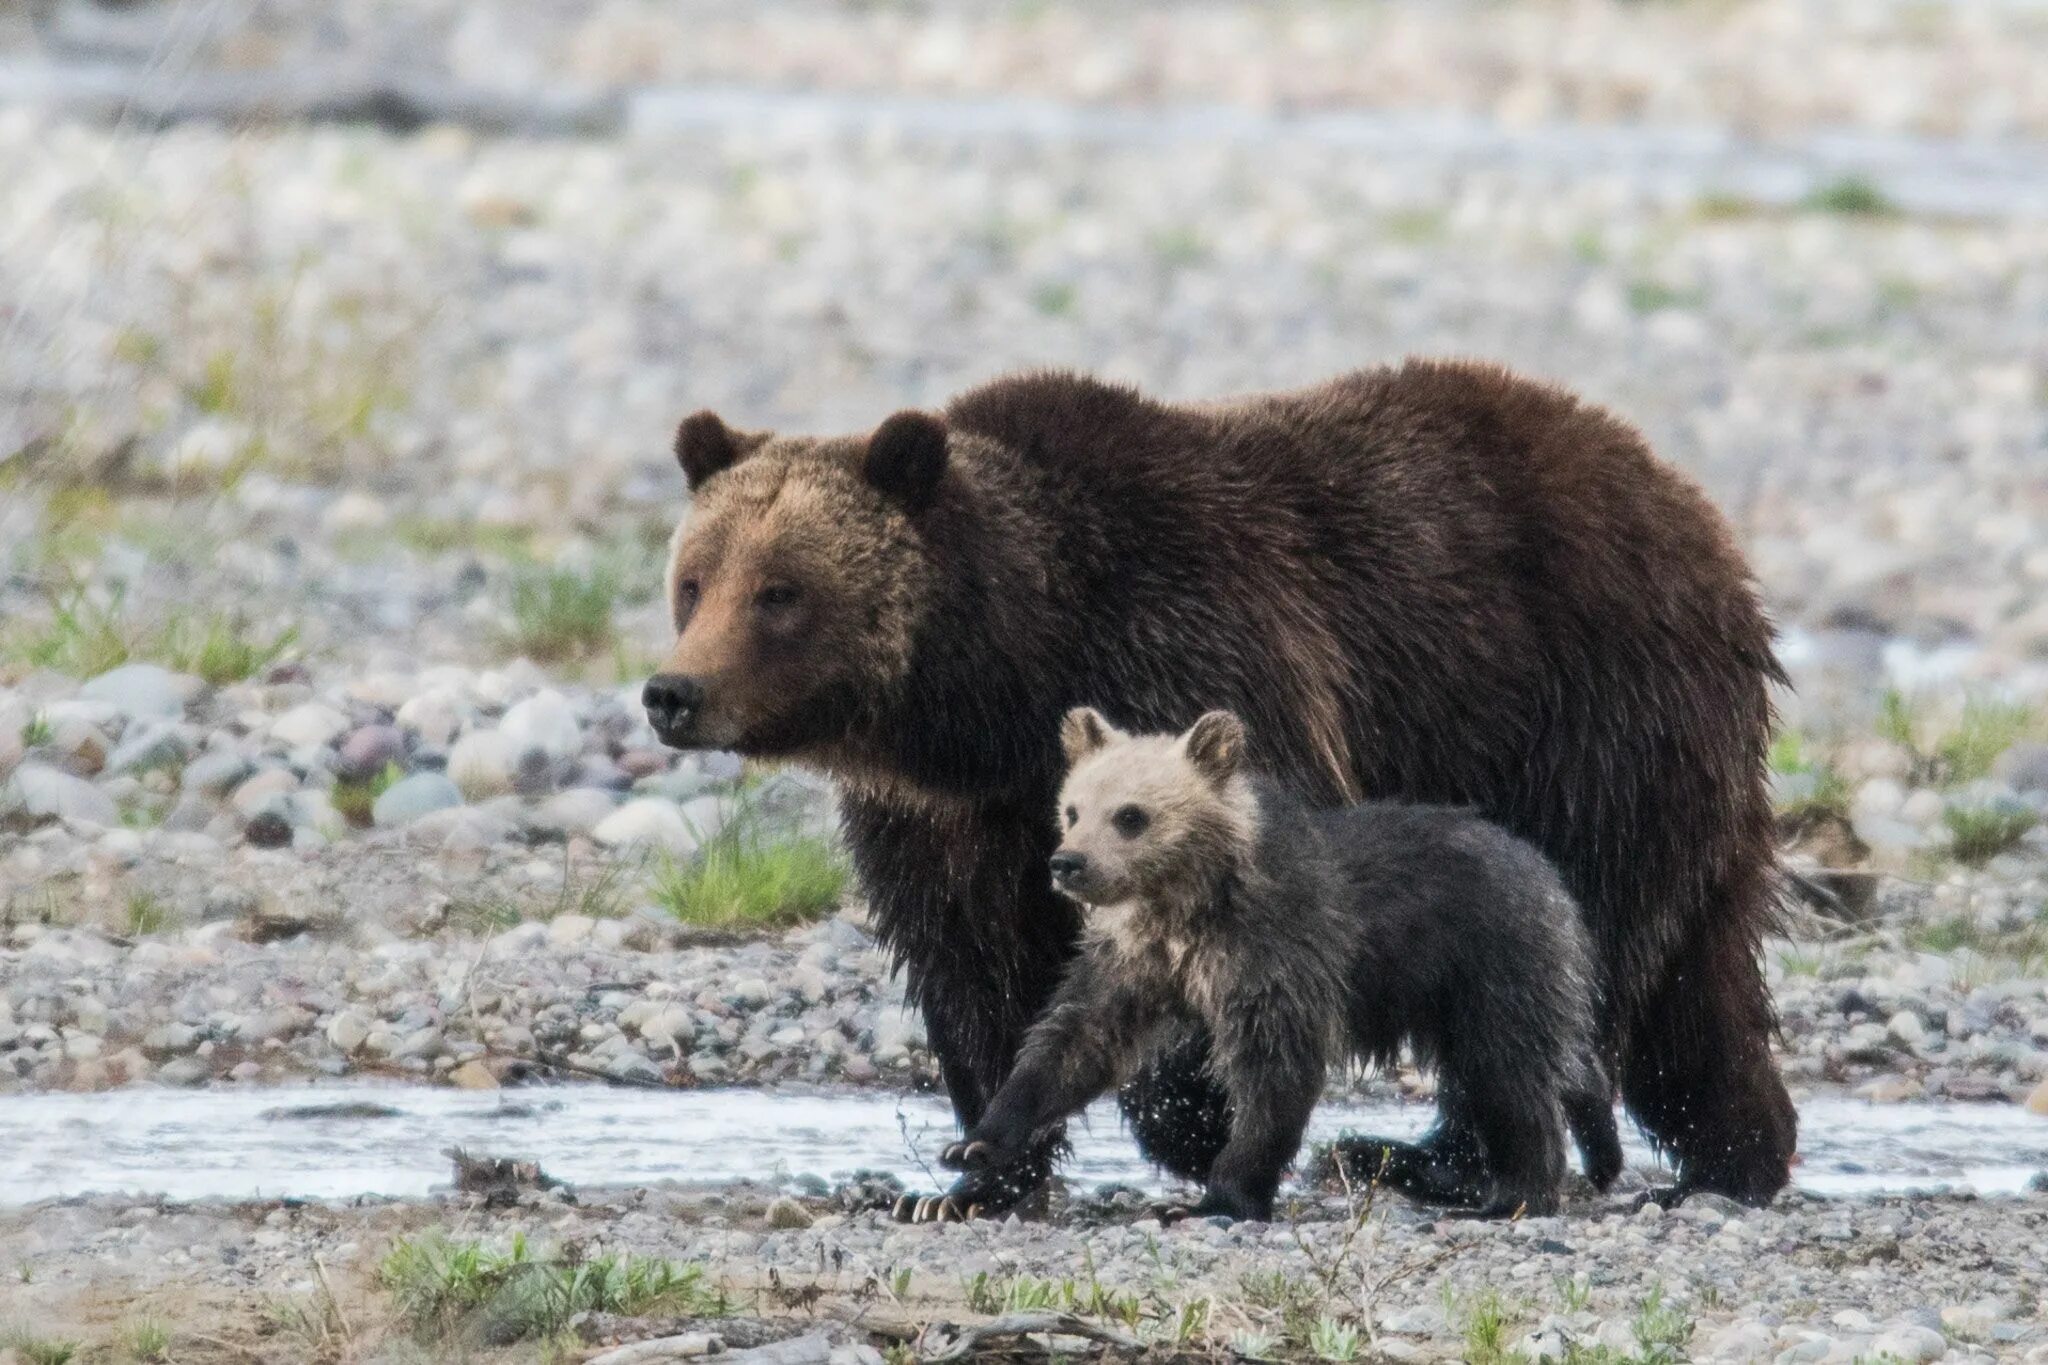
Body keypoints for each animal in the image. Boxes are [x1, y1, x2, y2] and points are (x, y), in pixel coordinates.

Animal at [946, 712, 1630, 1219]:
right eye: (1072, 808)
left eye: (1132, 815)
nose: (1068, 863)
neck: (1190, 904)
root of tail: (1546, 872)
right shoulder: (1137, 961)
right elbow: (1075, 1043)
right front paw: (975, 1144)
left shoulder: (1277, 950)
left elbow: (1275, 1067)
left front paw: (1217, 1196)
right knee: (1548, 1060)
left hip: (1489, 959)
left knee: (1507, 1072)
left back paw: (1515, 1193)